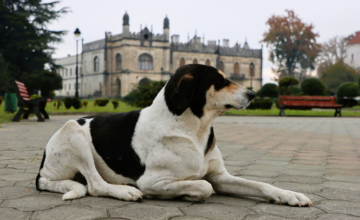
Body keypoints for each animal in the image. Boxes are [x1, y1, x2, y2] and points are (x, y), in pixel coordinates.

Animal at [35, 63, 312, 206]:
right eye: (219, 80)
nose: (253, 94)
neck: (193, 130)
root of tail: (42, 171)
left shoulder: (221, 176)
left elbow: (260, 184)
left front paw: (289, 195)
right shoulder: (153, 180)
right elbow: (203, 186)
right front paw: (186, 192)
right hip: (72, 130)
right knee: (95, 185)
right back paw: (124, 191)